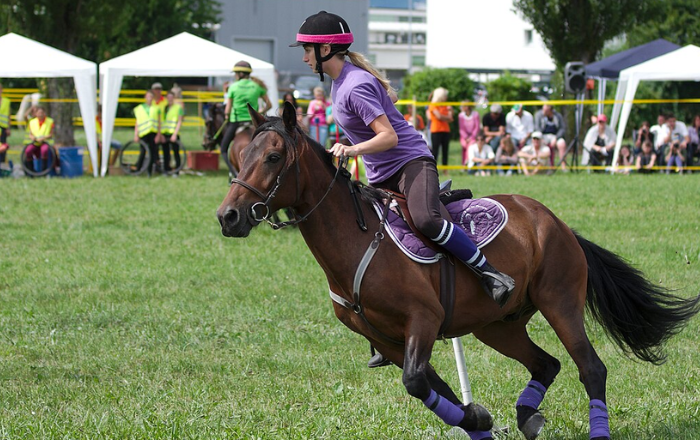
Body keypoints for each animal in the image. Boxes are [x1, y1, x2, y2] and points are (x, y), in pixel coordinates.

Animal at [216, 101, 696, 438]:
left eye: (273, 157)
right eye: (240, 157)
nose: (228, 217)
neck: (355, 241)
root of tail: (557, 223)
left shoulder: (423, 320)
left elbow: (416, 382)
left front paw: (478, 419)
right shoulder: (386, 339)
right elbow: (436, 391)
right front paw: (479, 421)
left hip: (559, 303)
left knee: (591, 369)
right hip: (497, 326)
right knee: (546, 365)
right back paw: (527, 415)